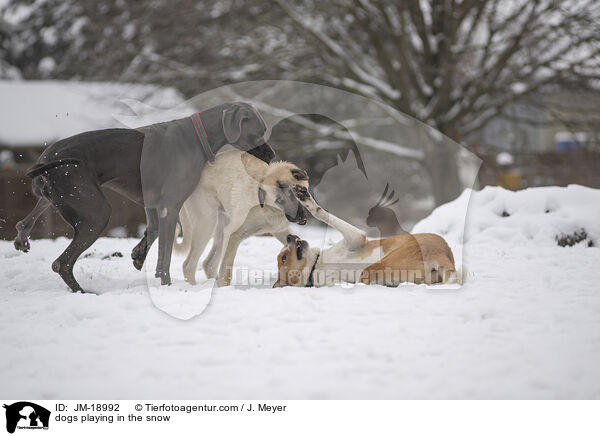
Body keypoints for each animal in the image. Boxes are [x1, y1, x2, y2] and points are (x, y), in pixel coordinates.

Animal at [14, 102, 276, 292]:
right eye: (259, 132)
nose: (273, 156)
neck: (197, 138)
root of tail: (44, 160)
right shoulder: (171, 206)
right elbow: (165, 255)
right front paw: (166, 285)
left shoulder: (153, 205)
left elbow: (153, 232)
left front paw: (138, 256)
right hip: (95, 213)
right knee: (62, 262)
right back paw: (82, 291)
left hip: (53, 197)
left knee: (25, 222)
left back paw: (22, 238)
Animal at [172, 150, 308, 286]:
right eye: (279, 200)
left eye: (295, 193)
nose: (298, 216)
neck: (267, 206)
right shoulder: (233, 234)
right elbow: (226, 272)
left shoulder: (280, 231)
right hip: (207, 224)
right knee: (188, 265)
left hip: (221, 230)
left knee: (208, 264)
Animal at [274, 186, 458, 288]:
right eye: (283, 258)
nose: (290, 236)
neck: (316, 266)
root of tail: (443, 253)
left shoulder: (355, 237)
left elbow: (321, 213)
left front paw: (306, 199)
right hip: (378, 268)